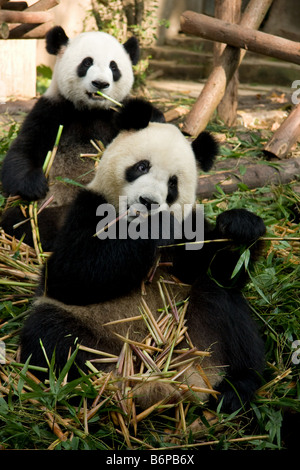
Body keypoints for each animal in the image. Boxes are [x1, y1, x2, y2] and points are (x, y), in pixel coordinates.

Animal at [19, 98, 266, 412]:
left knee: (225, 304)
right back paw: (88, 392)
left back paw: (235, 389)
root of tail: (160, 383)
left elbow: (223, 269)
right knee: (51, 336)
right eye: (141, 166)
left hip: (198, 331)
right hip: (91, 333)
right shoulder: (88, 208)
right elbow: (70, 273)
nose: (148, 202)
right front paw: (154, 227)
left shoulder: (189, 235)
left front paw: (240, 228)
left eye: (173, 184)